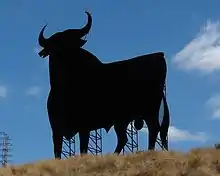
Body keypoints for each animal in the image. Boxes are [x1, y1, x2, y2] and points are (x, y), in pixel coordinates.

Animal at [37, 11, 170, 160]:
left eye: (70, 42)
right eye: (54, 44)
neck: (64, 87)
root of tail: (160, 56)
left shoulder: (85, 126)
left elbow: (83, 148)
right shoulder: (56, 128)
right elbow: (57, 151)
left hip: (150, 109)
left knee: (154, 129)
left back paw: (149, 152)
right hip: (123, 119)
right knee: (124, 138)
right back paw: (115, 155)